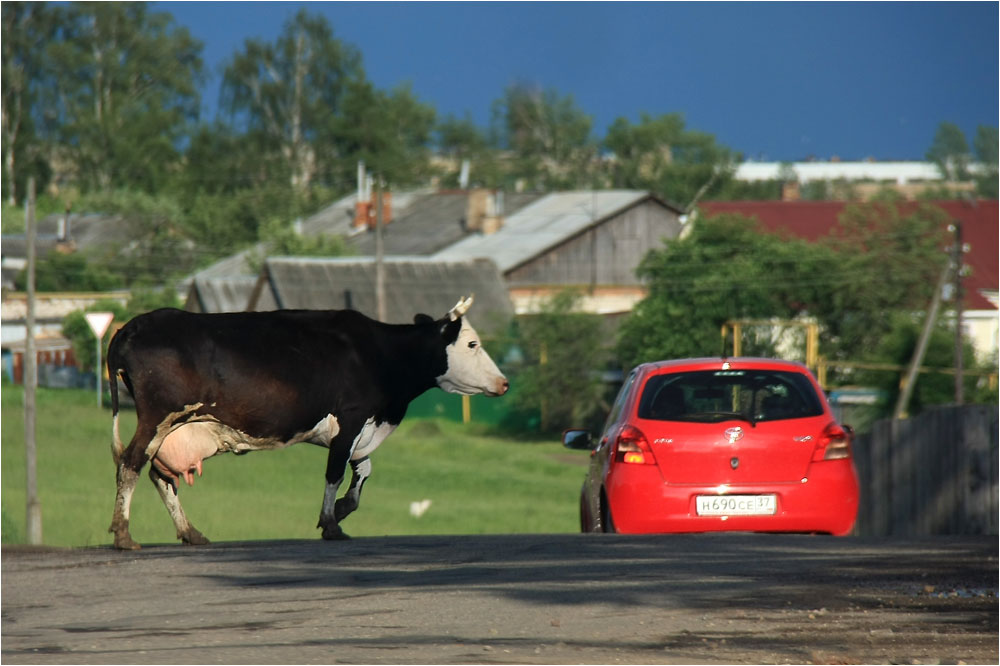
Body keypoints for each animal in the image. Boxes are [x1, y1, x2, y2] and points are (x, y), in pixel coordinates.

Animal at [107, 296, 508, 548]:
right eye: (472, 344)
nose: (504, 383)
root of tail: (131, 327)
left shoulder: (359, 428)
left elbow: (362, 470)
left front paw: (343, 509)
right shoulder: (351, 417)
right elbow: (335, 473)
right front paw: (331, 523)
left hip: (176, 428)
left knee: (159, 474)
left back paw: (190, 533)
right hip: (157, 416)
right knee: (130, 463)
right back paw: (124, 535)